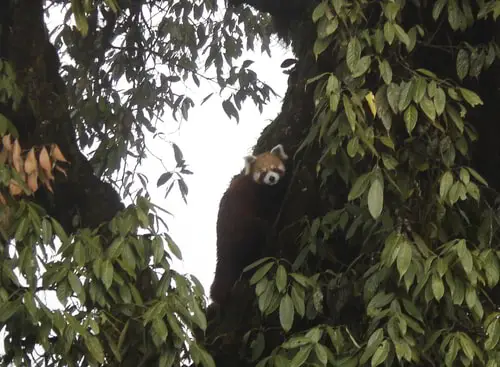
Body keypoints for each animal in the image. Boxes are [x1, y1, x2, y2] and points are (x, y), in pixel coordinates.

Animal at [210, 144, 290, 304]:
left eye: (274, 168)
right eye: (263, 172)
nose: (272, 178)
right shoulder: (259, 195)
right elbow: (272, 204)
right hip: (244, 226)